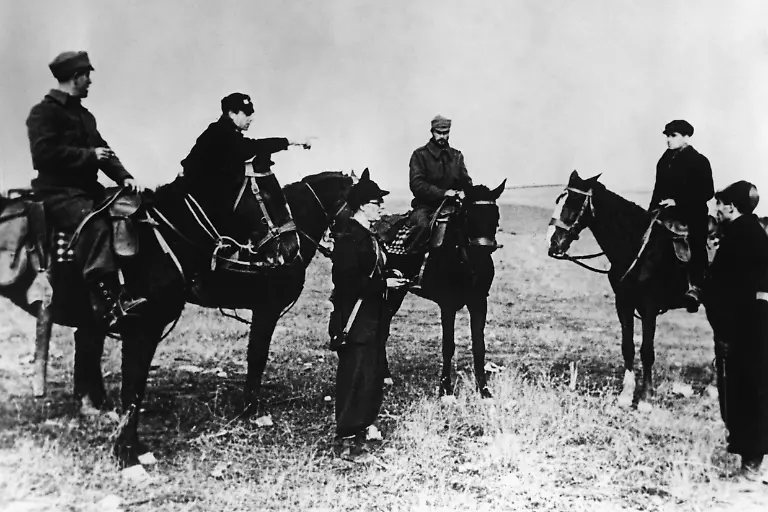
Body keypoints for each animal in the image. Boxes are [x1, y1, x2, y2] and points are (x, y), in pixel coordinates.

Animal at [0, 170, 353, 468]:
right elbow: (256, 358)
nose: (288, 251)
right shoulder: (263, 312)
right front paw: (251, 410)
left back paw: (94, 404)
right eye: (266, 193)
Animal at [374, 181, 505, 398]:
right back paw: (383, 375)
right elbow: (448, 346)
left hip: (397, 291)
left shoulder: (479, 302)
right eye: (468, 215)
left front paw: (484, 391)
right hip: (391, 292)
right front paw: (446, 390)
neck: (463, 258)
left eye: (496, 215)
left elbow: (479, 346)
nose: (483, 250)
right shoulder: (448, 305)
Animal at [547, 170, 700, 407]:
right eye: (558, 200)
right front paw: (626, 395)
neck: (637, 247)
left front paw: (645, 398)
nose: (552, 242)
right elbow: (628, 347)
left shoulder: (649, 307)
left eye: (574, 201)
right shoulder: (624, 303)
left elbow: (647, 351)